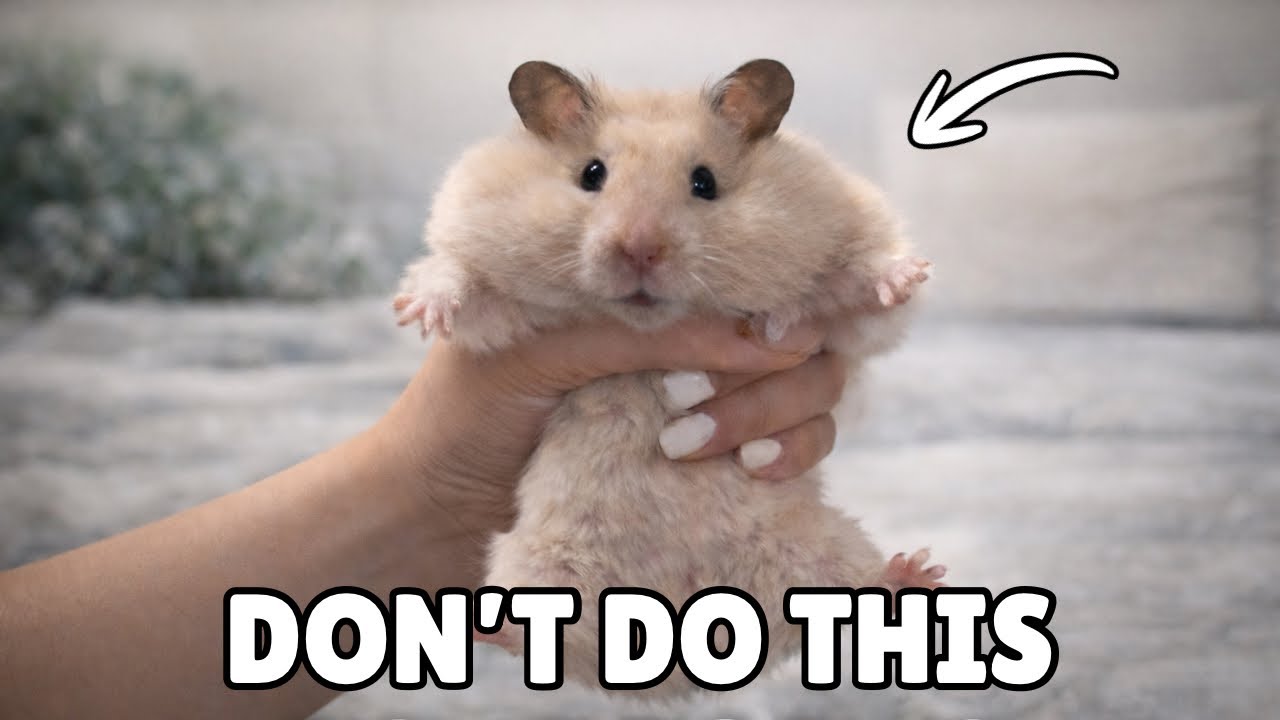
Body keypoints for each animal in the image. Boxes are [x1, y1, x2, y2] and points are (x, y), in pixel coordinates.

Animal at [394, 59, 942, 697]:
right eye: (592, 174)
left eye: (704, 182)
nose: (639, 249)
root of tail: (680, 665)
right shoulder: (508, 310)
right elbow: (463, 284)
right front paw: (415, 311)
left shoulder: (830, 310)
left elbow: (862, 292)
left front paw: (908, 276)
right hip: (537, 568)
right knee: (529, 638)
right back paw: (481, 623)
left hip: (821, 552)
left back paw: (917, 573)